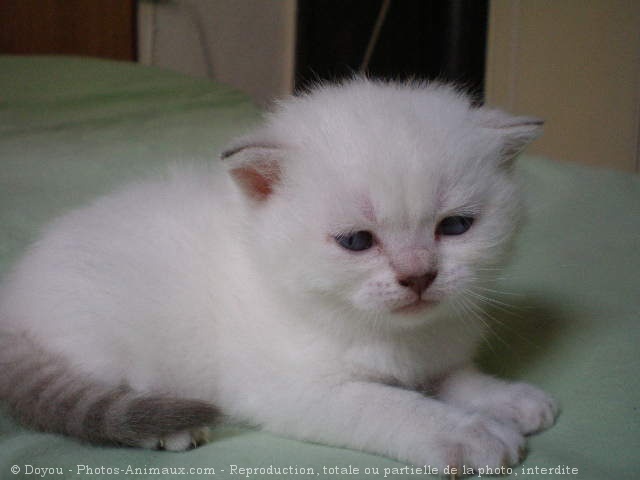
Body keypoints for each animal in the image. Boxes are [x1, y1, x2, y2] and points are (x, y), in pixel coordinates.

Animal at [0, 79, 556, 468]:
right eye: (357, 242)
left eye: (455, 227)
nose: (418, 275)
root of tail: (13, 295)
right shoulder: (292, 389)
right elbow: (393, 405)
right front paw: (468, 432)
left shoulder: (436, 350)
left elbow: (454, 376)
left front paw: (507, 398)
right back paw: (171, 428)